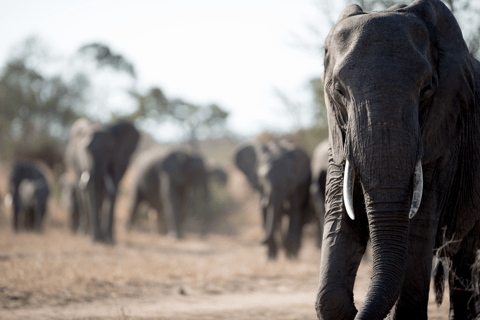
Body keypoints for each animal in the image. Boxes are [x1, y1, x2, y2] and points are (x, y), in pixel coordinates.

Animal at [316, 0, 480, 320]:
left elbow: (417, 227)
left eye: (427, 88)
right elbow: (341, 220)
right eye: (338, 90)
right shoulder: (338, 142)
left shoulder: (443, 134)